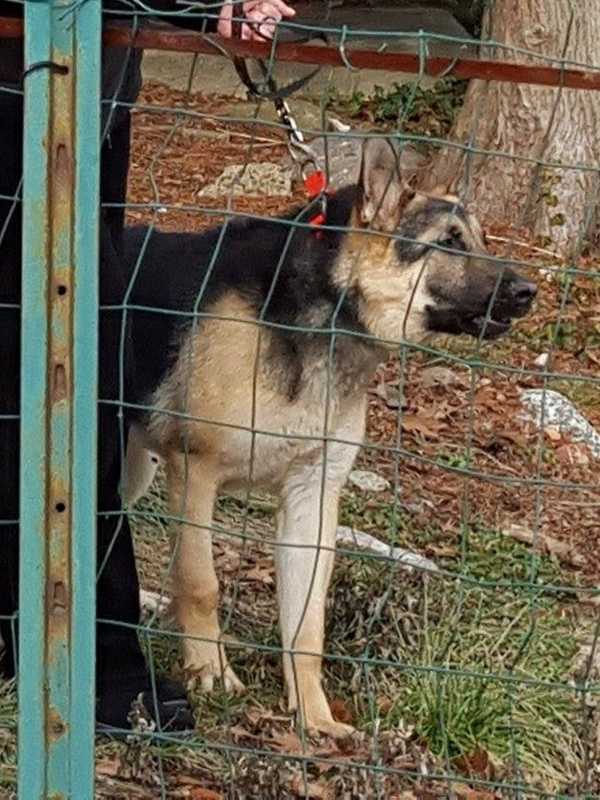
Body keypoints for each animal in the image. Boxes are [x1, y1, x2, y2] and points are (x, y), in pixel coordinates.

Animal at [124, 138, 536, 736]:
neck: (331, 310)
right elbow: (200, 583)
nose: (529, 292)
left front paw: (314, 716)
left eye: (482, 239)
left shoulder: (312, 500)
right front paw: (210, 674)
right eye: (448, 243)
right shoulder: (194, 472)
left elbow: (307, 623)